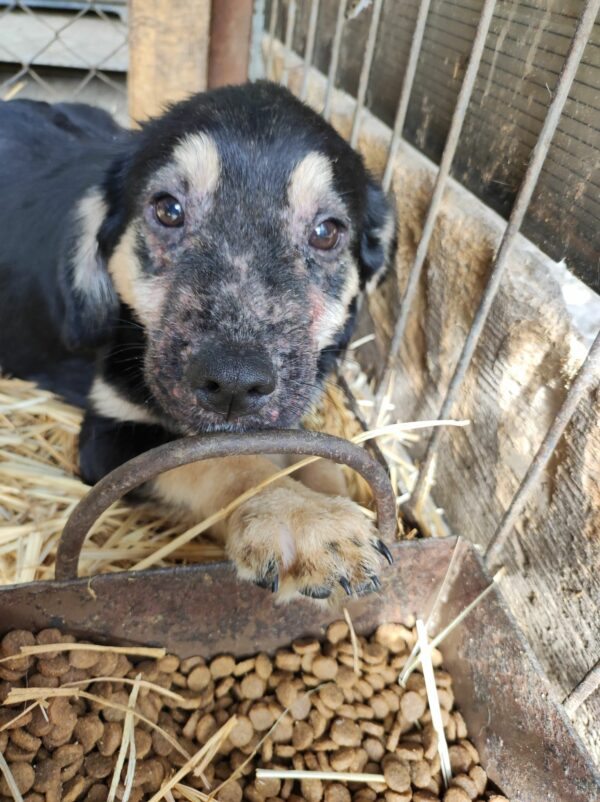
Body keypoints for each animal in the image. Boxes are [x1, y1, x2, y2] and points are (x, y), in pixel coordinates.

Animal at [1, 81, 398, 600]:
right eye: (168, 209)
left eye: (327, 232)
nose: (233, 384)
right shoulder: (110, 434)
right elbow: (221, 464)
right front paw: (303, 515)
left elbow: (313, 456)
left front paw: (328, 494)